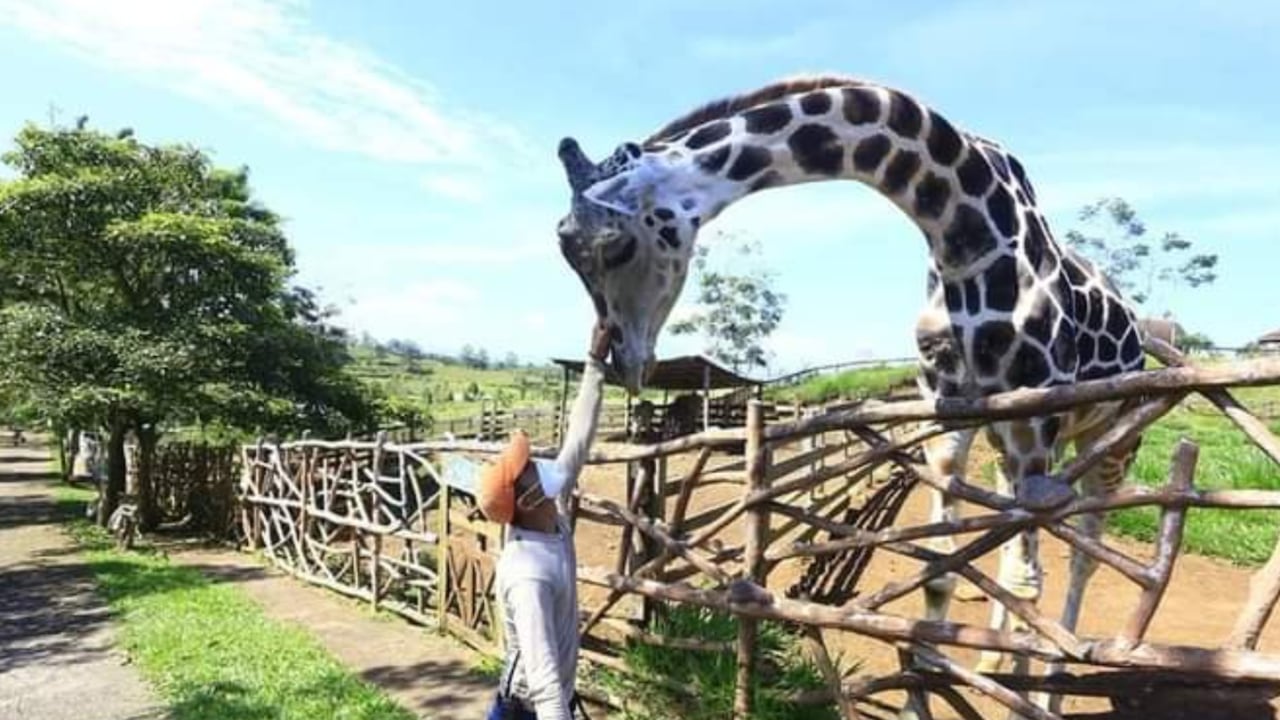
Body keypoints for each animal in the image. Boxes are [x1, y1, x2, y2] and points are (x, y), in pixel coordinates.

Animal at [554, 75, 1146, 718]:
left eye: (616, 247)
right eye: (569, 250)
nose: (624, 361)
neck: (960, 228)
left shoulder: (1034, 412)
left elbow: (1027, 579)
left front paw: (1030, 695)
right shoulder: (953, 411)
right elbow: (941, 571)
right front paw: (921, 698)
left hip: (1107, 439)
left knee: (1083, 553)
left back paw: (1049, 678)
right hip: (1019, 439)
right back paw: (994, 660)